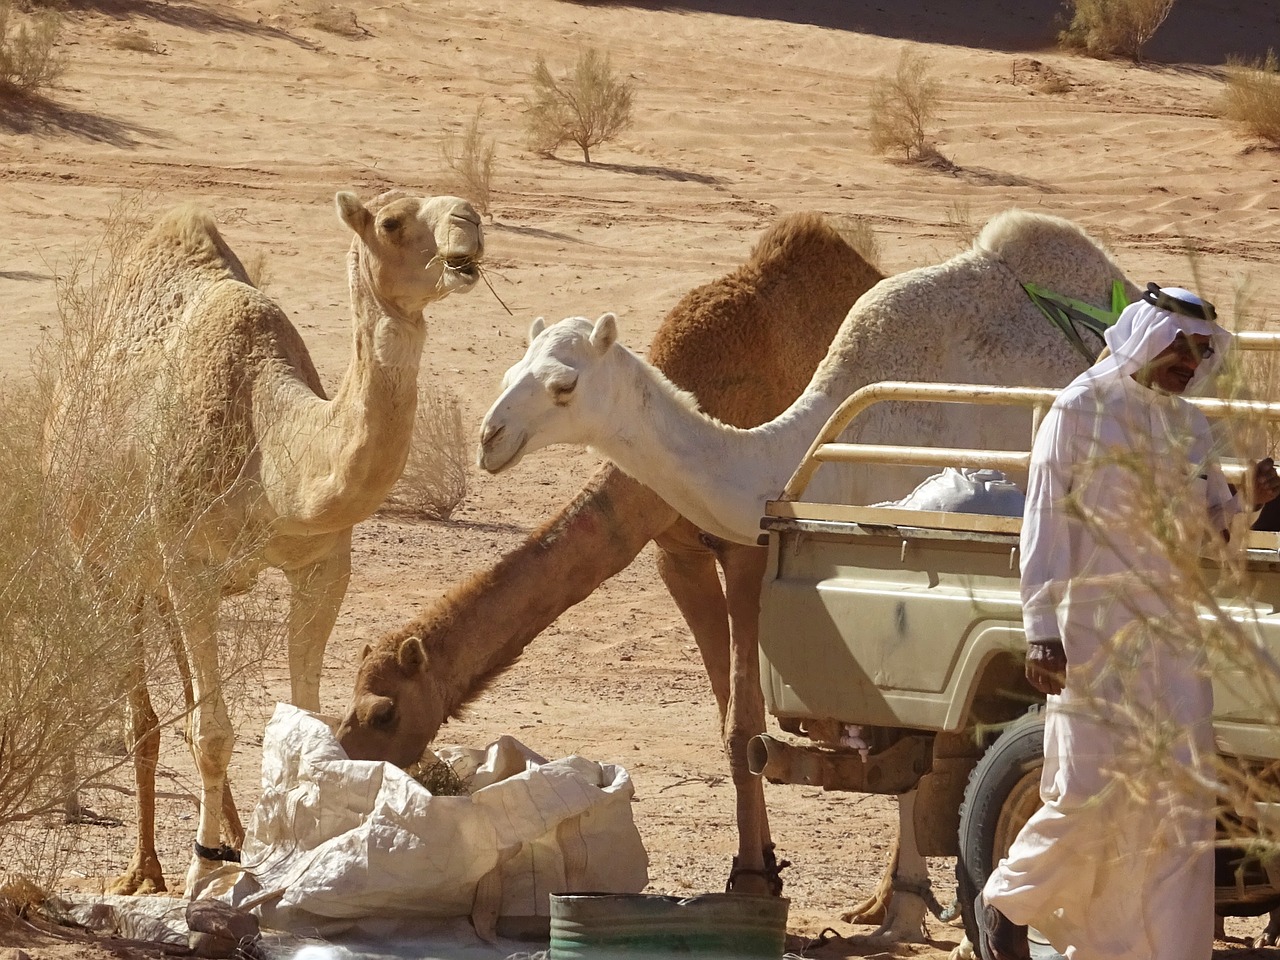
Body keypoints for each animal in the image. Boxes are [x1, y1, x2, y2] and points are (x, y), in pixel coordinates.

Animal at [46, 189, 483, 901]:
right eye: (392, 222)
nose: (469, 223)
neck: (270, 445)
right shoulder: (190, 559)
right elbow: (212, 732)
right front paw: (201, 871)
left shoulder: (323, 566)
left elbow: (305, 719)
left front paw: (293, 860)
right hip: (103, 559)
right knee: (146, 717)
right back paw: (147, 870)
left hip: (162, 576)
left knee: (182, 685)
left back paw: (231, 839)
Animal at [335, 209, 885, 901]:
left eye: (384, 712)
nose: (345, 760)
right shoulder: (676, 555)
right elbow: (730, 723)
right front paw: (757, 860)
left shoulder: (745, 553)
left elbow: (744, 727)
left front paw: (755, 877)